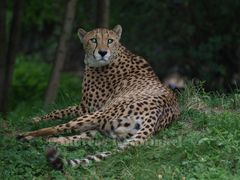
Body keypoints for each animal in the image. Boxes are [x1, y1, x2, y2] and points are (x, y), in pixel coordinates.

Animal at [16, 24, 179, 169]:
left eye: (110, 40)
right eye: (93, 40)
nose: (102, 52)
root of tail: (157, 113)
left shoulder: (86, 108)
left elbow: (58, 112)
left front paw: (32, 120)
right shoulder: (86, 108)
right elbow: (58, 112)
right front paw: (35, 119)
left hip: (98, 115)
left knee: (55, 129)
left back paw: (25, 135)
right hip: (105, 129)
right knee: (74, 138)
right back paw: (48, 141)